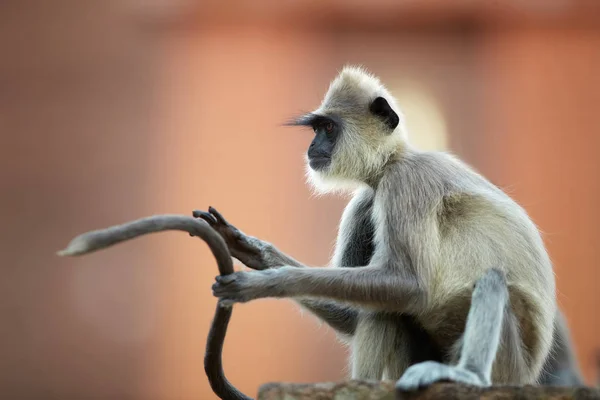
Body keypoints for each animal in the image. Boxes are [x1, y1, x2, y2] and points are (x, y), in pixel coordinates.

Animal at [198, 66, 556, 390]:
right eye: (316, 129)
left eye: (328, 127)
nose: (312, 147)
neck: (390, 163)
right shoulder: (365, 202)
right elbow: (355, 315)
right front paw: (253, 251)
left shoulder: (406, 182)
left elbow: (410, 284)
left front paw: (268, 282)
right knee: (386, 307)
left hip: (508, 370)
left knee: (487, 279)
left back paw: (468, 375)